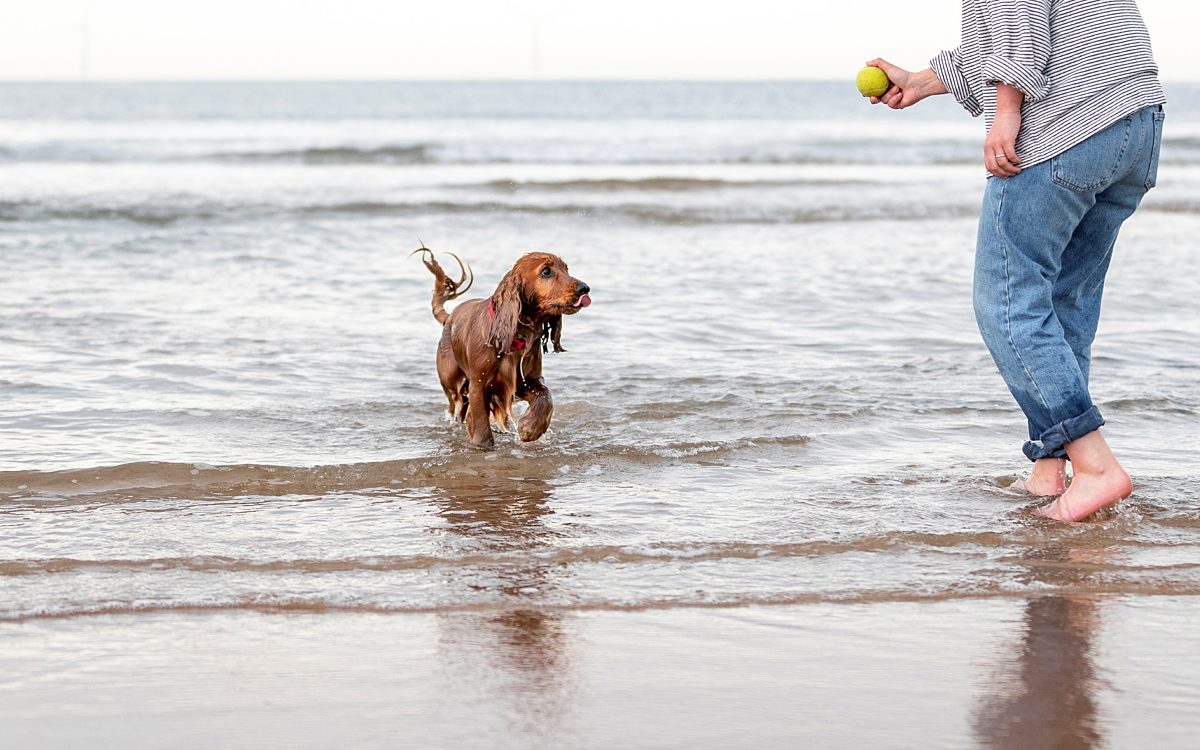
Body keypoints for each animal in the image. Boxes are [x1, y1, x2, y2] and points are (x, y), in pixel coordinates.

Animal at [417, 246, 590, 446]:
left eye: (566, 269)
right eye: (546, 271)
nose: (585, 288)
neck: (516, 337)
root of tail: (450, 317)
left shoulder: (526, 381)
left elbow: (545, 396)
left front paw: (530, 428)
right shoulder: (478, 384)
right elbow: (480, 425)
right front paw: (483, 445)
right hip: (453, 383)